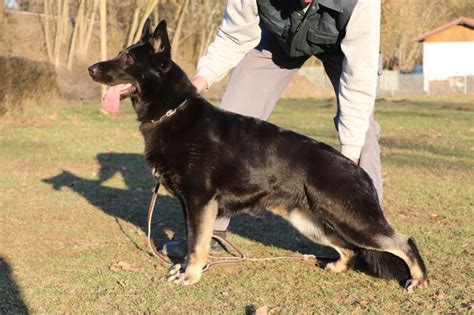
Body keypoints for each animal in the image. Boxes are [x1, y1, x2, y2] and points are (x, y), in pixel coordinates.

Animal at [87, 19, 428, 292]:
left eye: (127, 57)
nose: (90, 68)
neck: (172, 111)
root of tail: (356, 170)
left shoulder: (200, 202)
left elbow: (197, 244)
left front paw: (191, 274)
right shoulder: (191, 205)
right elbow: (191, 240)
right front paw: (185, 267)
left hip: (353, 221)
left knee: (404, 241)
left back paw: (419, 279)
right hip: (311, 223)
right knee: (350, 249)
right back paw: (337, 266)